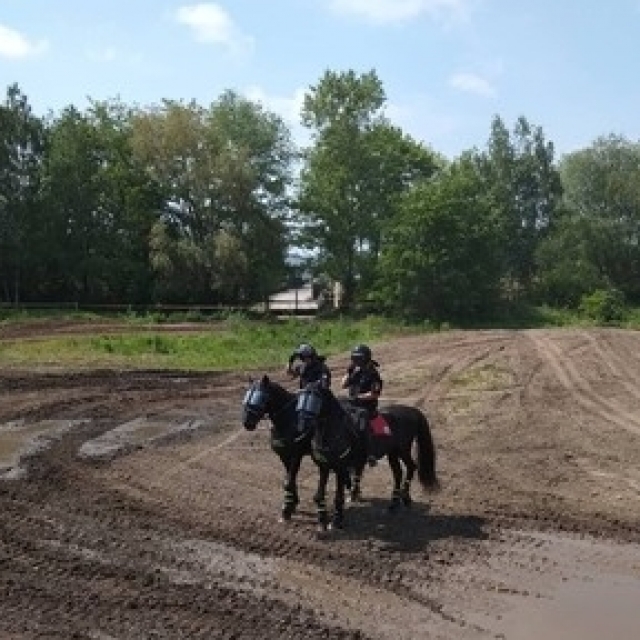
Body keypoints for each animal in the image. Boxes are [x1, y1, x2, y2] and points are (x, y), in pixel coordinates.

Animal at [240, 376, 312, 520]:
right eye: (247, 395)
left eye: (261, 397)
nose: (247, 423)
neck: (289, 419)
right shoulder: (284, 456)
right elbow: (289, 479)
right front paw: (292, 503)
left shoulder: (296, 455)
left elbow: (289, 480)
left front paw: (287, 509)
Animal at [296, 384, 438, 528]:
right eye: (301, 397)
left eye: (315, 398)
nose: (302, 425)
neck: (334, 433)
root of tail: (413, 411)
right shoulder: (324, 467)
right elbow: (319, 495)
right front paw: (321, 517)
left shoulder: (340, 469)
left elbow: (338, 497)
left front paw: (337, 520)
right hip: (392, 452)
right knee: (398, 473)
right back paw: (393, 504)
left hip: (403, 450)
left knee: (411, 467)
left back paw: (406, 498)